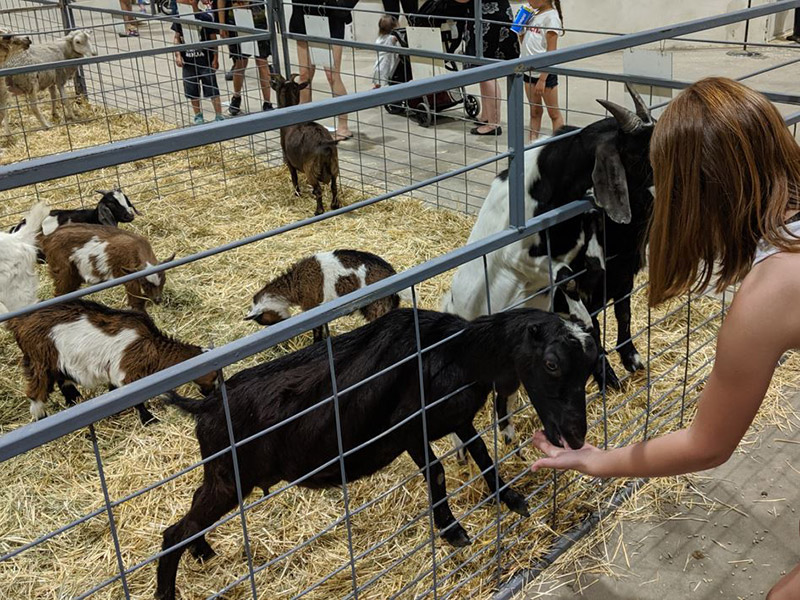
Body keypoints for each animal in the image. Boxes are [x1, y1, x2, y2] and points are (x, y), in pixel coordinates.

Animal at [7, 298, 219, 422]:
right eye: (214, 376)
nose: (211, 394)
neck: (153, 346)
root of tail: (19, 322)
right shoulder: (127, 370)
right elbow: (134, 397)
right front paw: (149, 420)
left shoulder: (115, 371)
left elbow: (114, 391)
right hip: (39, 359)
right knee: (36, 392)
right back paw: (42, 417)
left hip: (56, 360)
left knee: (63, 380)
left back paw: (74, 401)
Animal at [40, 223, 175, 312]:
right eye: (145, 284)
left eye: (164, 280)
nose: (157, 300)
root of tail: (48, 238)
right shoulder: (129, 276)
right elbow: (136, 299)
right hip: (63, 270)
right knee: (60, 293)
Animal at [156, 308, 596, 596]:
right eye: (552, 363)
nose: (576, 438)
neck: (457, 354)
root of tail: (204, 407)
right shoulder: (408, 428)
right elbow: (438, 470)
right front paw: (452, 530)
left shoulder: (455, 417)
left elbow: (482, 453)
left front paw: (511, 498)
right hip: (230, 478)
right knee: (173, 531)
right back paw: (167, 588)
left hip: (221, 476)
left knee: (191, 512)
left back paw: (202, 550)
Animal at [270, 73, 340, 216]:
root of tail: (325, 143)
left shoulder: (289, 160)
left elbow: (294, 178)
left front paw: (297, 194)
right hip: (334, 165)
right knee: (334, 186)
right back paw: (334, 205)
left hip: (311, 169)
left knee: (319, 190)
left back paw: (318, 211)